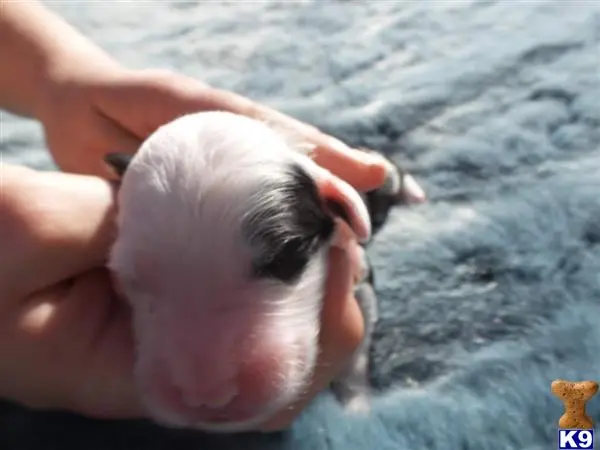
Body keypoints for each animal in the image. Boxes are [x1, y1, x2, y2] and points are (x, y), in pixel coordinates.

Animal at [106, 111, 418, 432]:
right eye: (131, 278)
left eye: (284, 256)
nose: (207, 399)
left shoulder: (363, 284)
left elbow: (357, 353)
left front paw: (356, 408)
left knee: (388, 170)